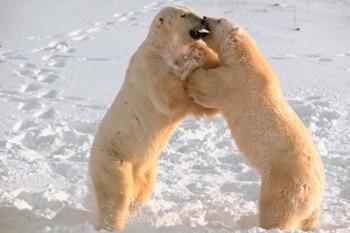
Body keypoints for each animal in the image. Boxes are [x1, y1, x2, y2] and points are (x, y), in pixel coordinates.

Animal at [87, 5, 219, 231]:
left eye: (190, 8)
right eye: (183, 14)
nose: (203, 19)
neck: (165, 47)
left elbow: (201, 104)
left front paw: (202, 53)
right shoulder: (151, 66)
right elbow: (167, 96)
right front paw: (191, 59)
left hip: (146, 167)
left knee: (142, 190)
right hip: (113, 158)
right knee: (117, 193)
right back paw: (111, 224)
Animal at [186, 17, 326, 230]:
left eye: (218, 20)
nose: (204, 18)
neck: (246, 58)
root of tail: (316, 189)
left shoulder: (235, 81)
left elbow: (209, 87)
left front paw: (195, 63)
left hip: (283, 185)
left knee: (276, 212)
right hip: (309, 203)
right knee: (309, 216)